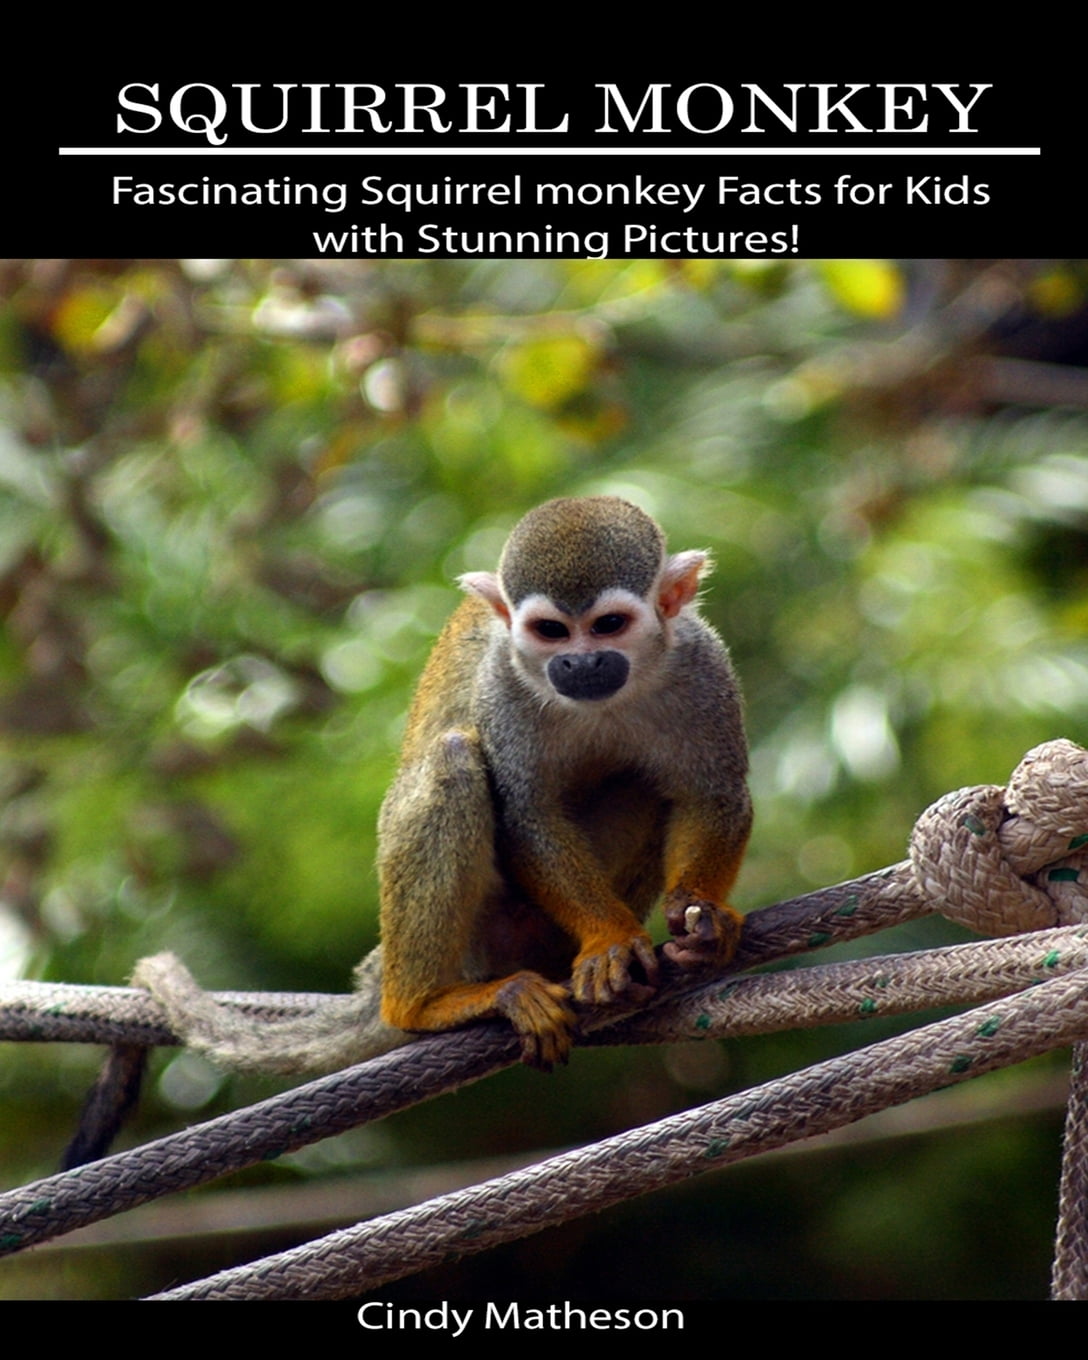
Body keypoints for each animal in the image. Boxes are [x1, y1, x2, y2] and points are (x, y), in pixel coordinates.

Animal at [133, 496, 751, 1076]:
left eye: (609, 625)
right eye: (551, 631)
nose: (581, 664)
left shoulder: (702, 664)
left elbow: (714, 795)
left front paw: (701, 913)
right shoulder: (503, 682)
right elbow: (529, 815)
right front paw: (609, 939)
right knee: (454, 757)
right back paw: (424, 1005)